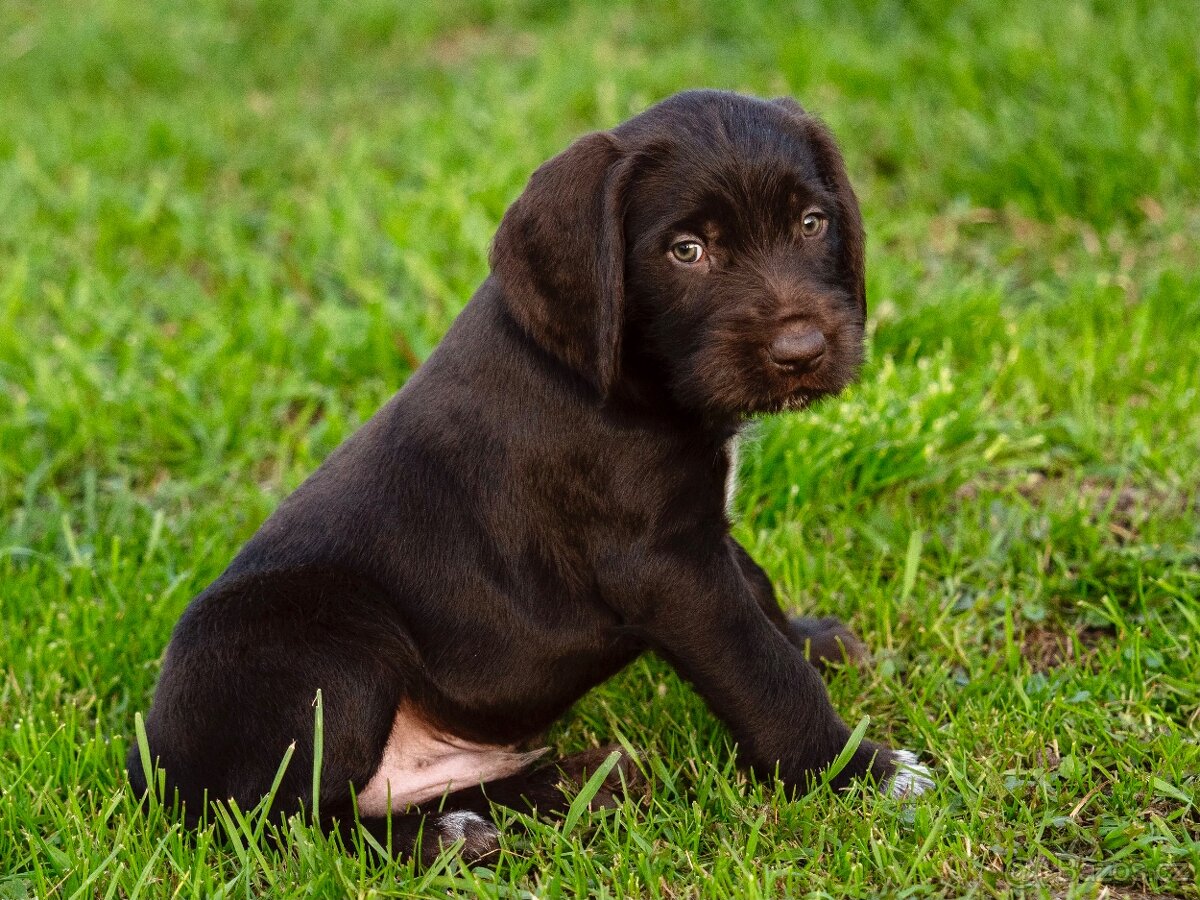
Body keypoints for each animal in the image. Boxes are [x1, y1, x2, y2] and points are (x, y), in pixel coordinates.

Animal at [133, 91, 936, 868]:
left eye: (811, 223)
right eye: (688, 251)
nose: (803, 350)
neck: (628, 372)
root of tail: (152, 773)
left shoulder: (700, 535)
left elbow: (759, 591)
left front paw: (815, 642)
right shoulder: (666, 566)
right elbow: (763, 674)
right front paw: (859, 772)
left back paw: (577, 786)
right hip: (326, 647)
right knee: (287, 827)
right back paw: (453, 837)